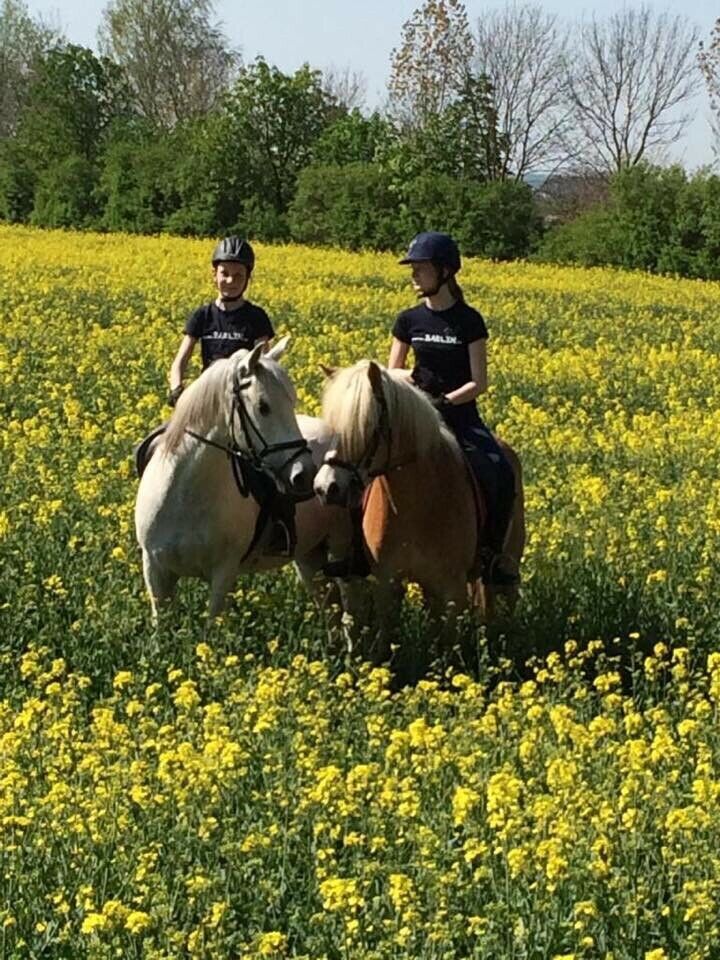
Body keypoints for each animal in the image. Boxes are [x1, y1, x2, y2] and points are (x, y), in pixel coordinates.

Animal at [135, 342, 352, 620]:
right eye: (263, 406)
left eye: (292, 401)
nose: (305, 475)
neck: (185, 495)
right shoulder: (155, 572)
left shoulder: (223, 573)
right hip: (308, 554)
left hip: (340, 545)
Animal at [314, 360, 524, 660]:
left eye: (367, 426)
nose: (325, 487)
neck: (414, 502)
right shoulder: (387, 581)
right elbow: (386, 639)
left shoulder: (451, 589)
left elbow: (448, 647)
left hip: (508, 560)